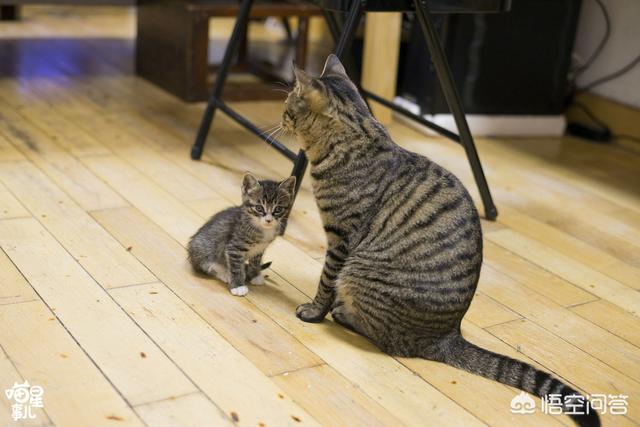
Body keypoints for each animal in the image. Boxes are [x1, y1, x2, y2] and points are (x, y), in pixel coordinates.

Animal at [282, 55, 596, 427]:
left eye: (288, 109)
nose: (280, 118)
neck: (352, 136)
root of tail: (448, 335)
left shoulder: (341, 237)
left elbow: (325, 282)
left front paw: (313, 311)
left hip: (359, 272)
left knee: (388, 339)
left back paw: (344, 315)